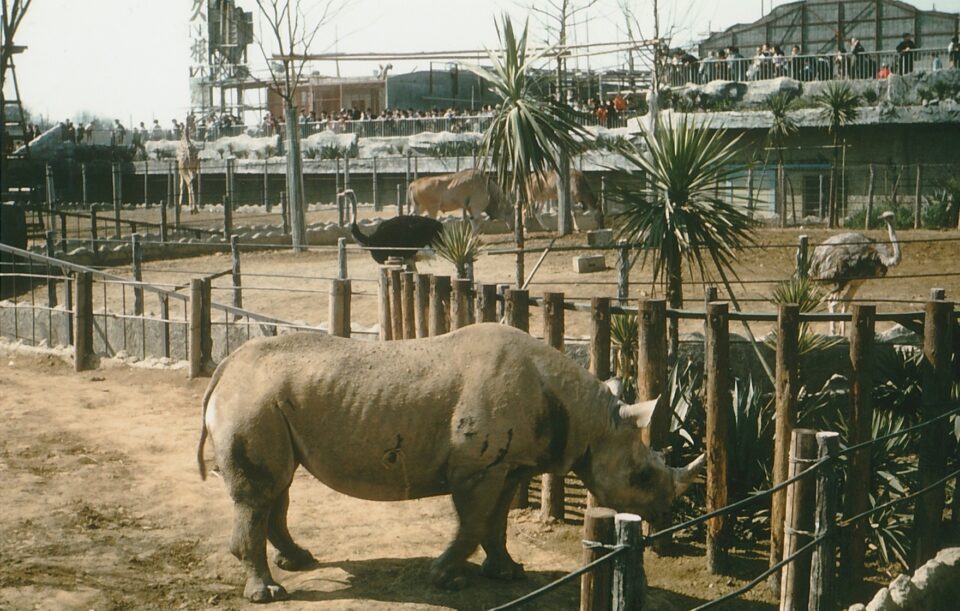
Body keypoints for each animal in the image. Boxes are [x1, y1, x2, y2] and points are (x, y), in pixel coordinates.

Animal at [197, 323, 704, 603]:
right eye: (641, 475)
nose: (664, 514)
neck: (588, 417)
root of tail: (226, 367)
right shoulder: (476, 468)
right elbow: (473, 524)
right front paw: (445, 578)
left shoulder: (509, 465)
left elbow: (496, 523)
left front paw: (508, 573)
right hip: (255, 401)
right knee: (261, 491)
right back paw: (269, 594)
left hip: (269, 401)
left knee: (279, 486)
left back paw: (299, 560)